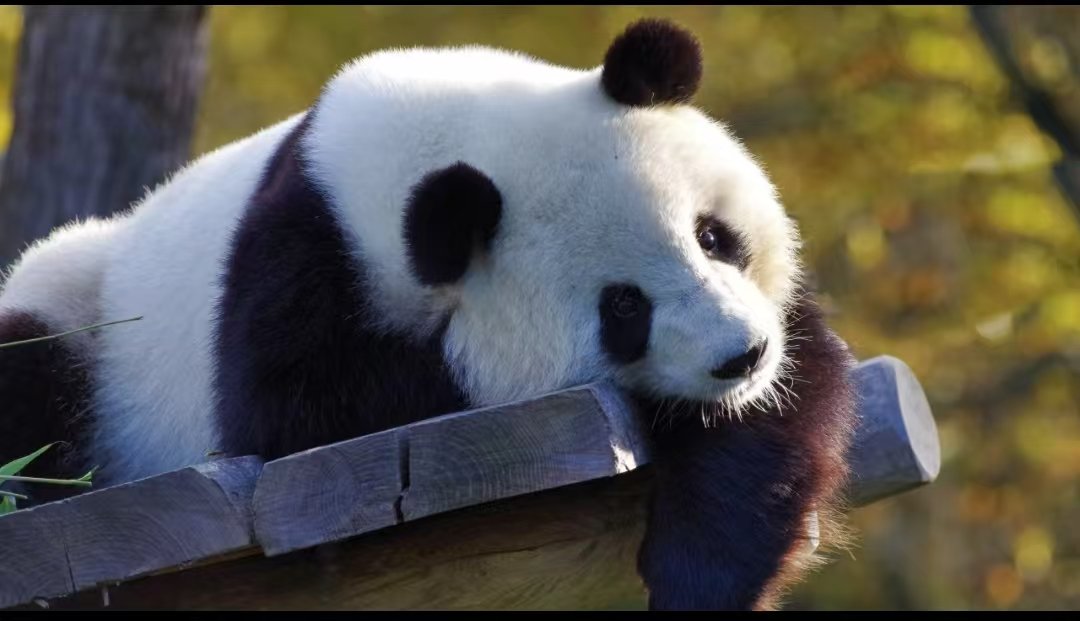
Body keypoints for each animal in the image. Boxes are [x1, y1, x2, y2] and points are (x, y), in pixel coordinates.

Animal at [0, 19, 857, 610]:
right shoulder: (297, 269)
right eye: (623, 307)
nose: (741, 355)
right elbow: (298, 417)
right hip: (80, 307)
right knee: (33, 376)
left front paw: (702, 568)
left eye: (714, 236)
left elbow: (783, 403)